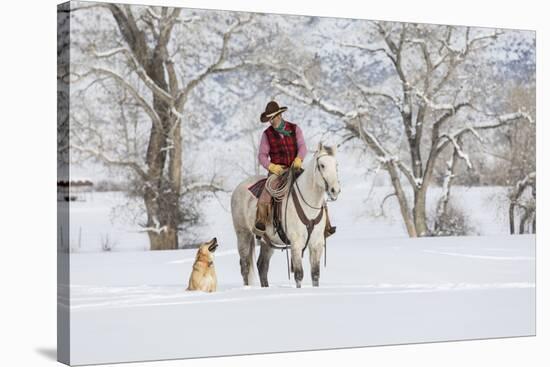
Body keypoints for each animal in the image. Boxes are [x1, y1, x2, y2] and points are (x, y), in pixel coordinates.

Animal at [232, 144, 342, 290]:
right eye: (322, 165)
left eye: (336, 165)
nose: (335, 190)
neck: (309, 205)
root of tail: (238, 188)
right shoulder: (296, 243)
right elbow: (299, 274)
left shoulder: (316, 243)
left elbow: (315, 274)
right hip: (243, 234)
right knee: (245, 266)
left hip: (267, 241)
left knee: (262, 266)